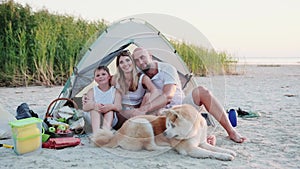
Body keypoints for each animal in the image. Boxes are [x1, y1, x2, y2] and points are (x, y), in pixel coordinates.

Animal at [91, 103, 237, 160]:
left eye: (172, 125)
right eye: (167, 125)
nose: (165, 134)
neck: (196, 130)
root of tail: (116, 134)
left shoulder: (202, 143)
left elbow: (215, 148)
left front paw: (229, 151)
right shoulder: (190, 149)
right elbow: (211, 153)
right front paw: (225, 156)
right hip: (144, 124)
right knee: (150, 147)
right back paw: (164, 148)